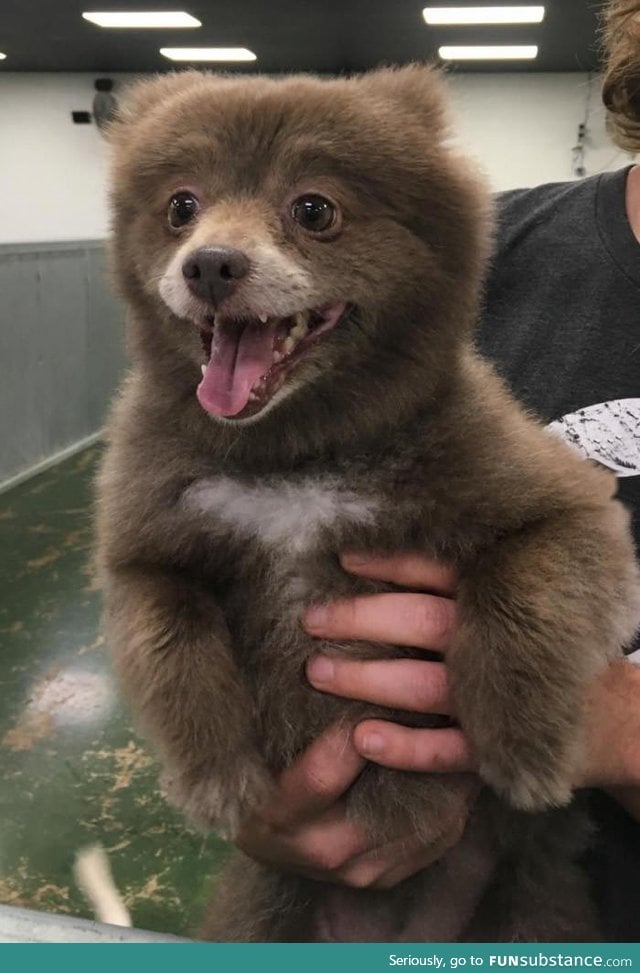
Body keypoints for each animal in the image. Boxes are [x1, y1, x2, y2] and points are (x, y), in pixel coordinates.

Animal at [97, 62, 640, 940]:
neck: (295, 457)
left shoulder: (561, 504)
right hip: (267, 909)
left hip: (532, 901)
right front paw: (215, 775)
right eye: (181, 205)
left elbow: (519, 589)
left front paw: (524, 743)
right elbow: (171, 636)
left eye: (313, 209)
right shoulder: (145, 547)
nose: (209, 263)